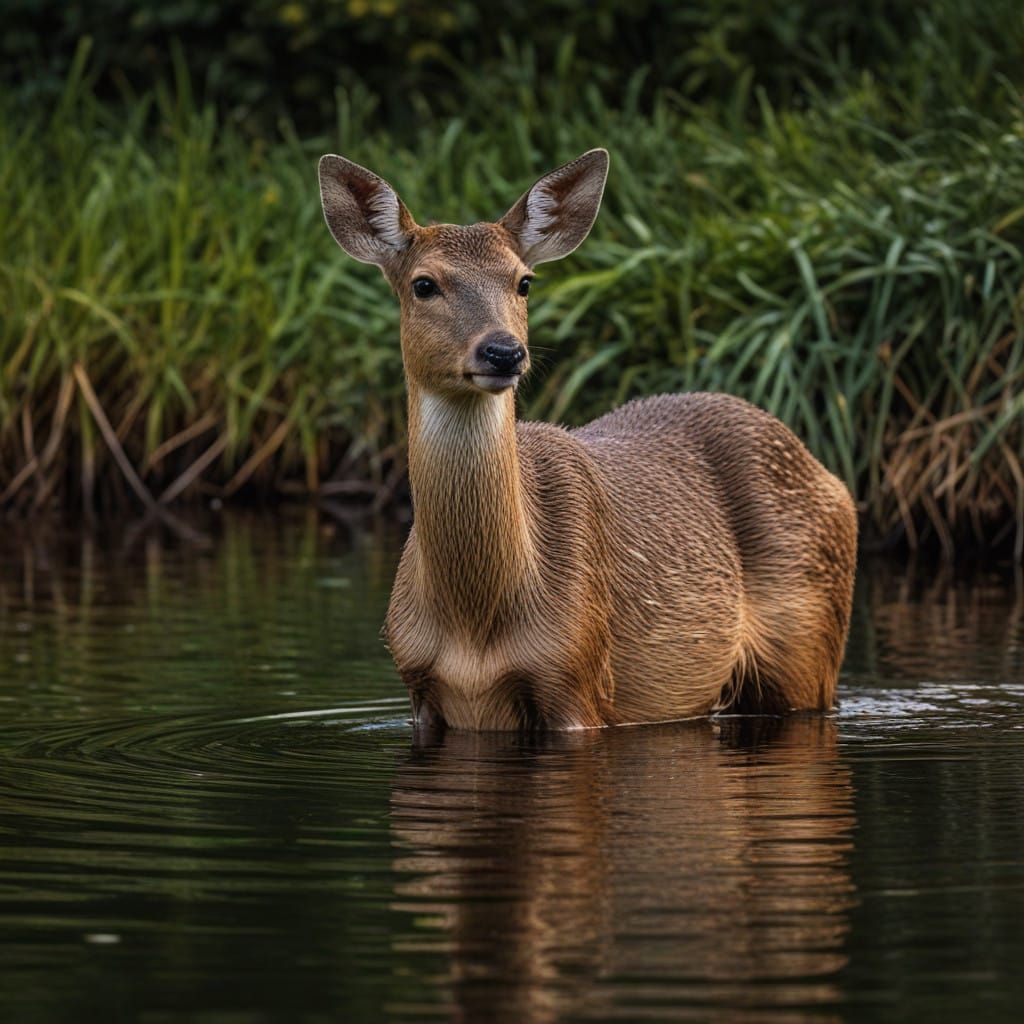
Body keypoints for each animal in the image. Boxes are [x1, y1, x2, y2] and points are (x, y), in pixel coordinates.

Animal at [318, 148, 858, 732]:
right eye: (423, 284)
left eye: (524, 281)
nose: (503, 351)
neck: (473, 628)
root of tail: (833, 479)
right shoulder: (418, 686)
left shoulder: (577, 674)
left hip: (809, 645)